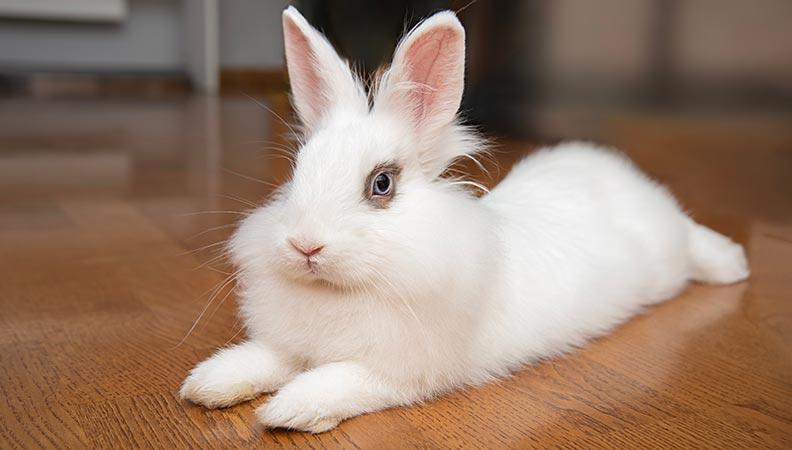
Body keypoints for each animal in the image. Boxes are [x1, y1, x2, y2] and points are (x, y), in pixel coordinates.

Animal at [180, 6, 749, 433]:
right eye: (298, 171)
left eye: (381, 184)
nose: (305, 246)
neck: (345, 291)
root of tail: (619, 173)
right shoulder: (291, 345)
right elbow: (263, 357)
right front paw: (207, 384)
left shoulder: (398, 371)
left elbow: (337, 382)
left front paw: (291, 410)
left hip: (668, 250)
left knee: (695, 241)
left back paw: (733, 265)